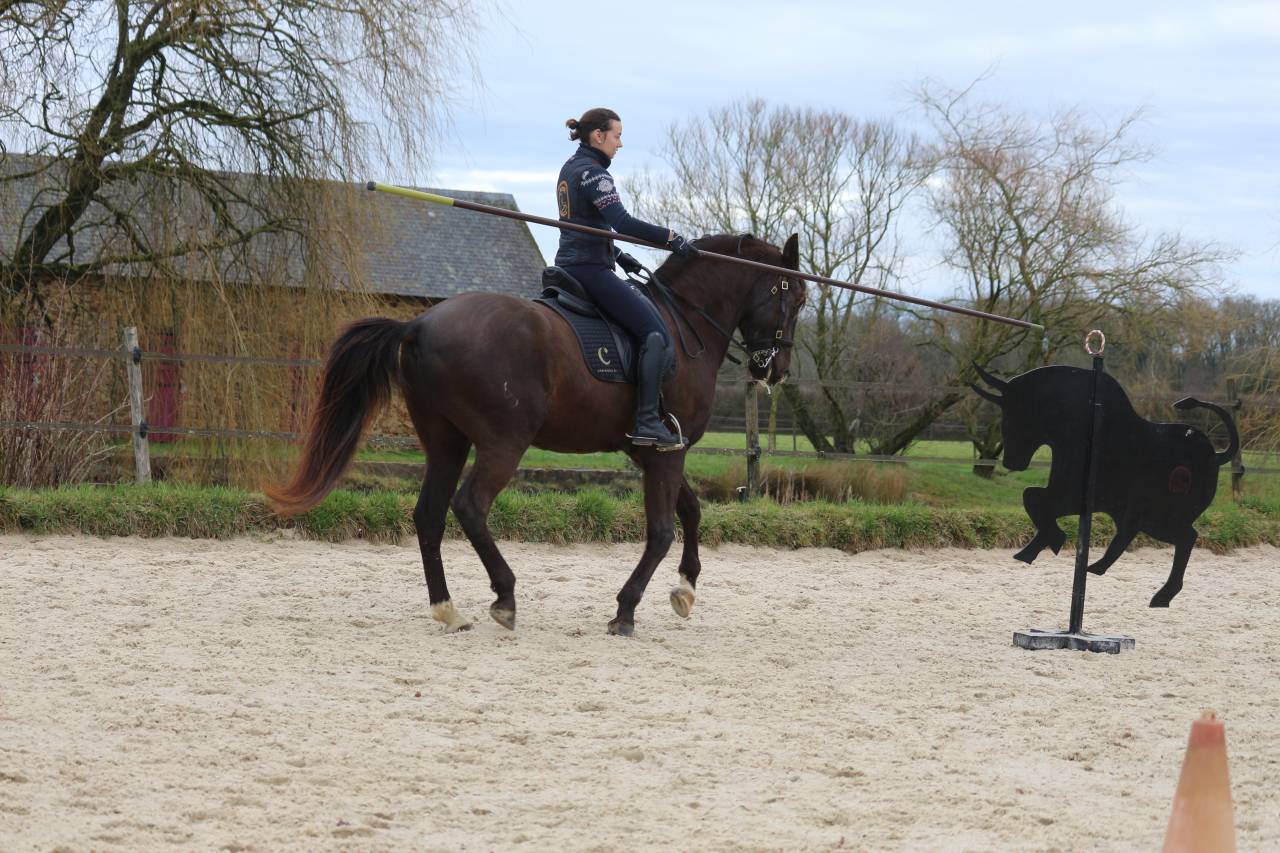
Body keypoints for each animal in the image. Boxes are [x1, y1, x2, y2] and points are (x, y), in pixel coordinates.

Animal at [267, 233, 806, 635]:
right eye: (796, 299)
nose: (776, 370)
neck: (683, 324)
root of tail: (418, 324)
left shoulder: (653, 451)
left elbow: (691, 512)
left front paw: (685, 590)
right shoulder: (665, 454)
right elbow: (660, 531)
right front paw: (626, 609)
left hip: (445, 441)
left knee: (429, 514)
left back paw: (447, 608)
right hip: (503, 442)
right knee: (470, 506)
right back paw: (505, 596)